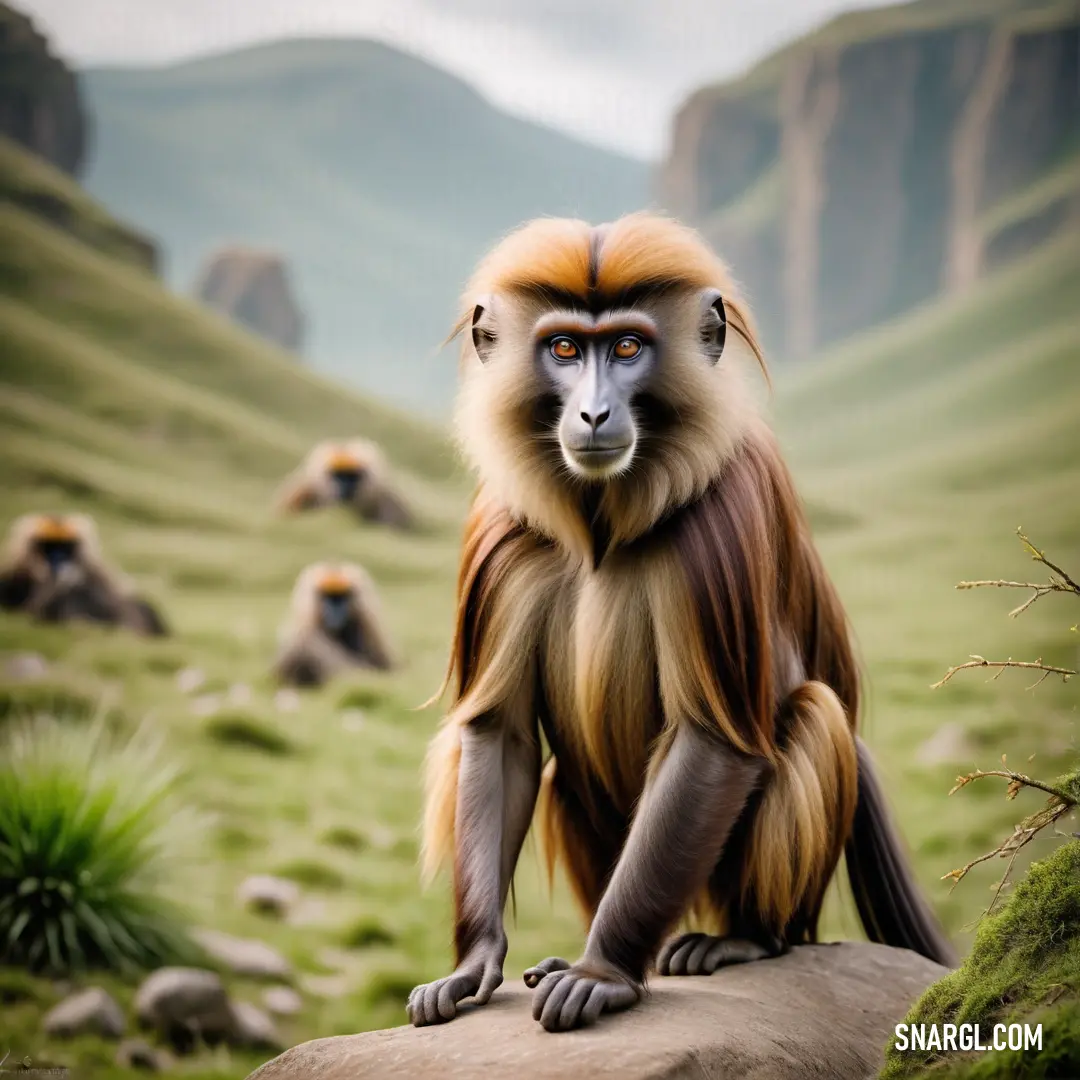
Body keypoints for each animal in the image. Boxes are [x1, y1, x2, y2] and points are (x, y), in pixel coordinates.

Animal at [406, 214, 954, 1032]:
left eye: (628, 348)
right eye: (564, 349)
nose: (594, 414)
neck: (601, 519)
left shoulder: (721, 514)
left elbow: (714, 738)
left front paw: (603, 972)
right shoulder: (505, 528)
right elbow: (500, 734)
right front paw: (475, 961)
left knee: (813, 715)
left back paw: (744, 939)